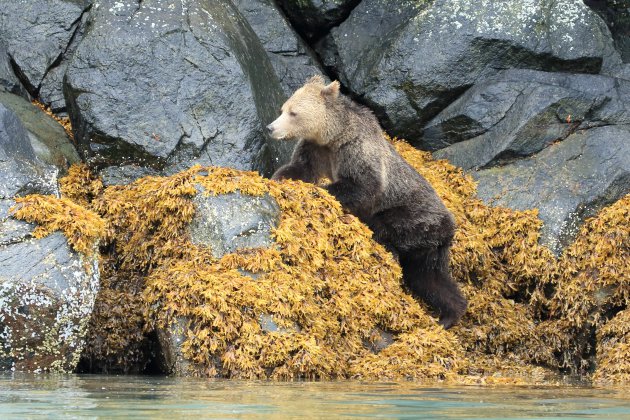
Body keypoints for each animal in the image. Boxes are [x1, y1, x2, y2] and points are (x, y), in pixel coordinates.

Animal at [266, 75, 470, 328]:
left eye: (293, 112)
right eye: (283, 108)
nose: (271, 128)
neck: (333, 136)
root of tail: (450, 227)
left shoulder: (357, 150)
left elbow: (363, 185)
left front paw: (323, 190)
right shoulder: (316, 149)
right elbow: (299, 168)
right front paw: (280, 179)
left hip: (416, 218)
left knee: (388, 230)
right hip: (428, 248)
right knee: (428, 277)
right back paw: (449, 314)